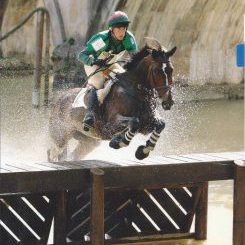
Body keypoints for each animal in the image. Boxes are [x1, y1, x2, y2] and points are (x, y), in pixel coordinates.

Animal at [47, 37, 177, 161]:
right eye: (156, 71)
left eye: (171, 69)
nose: (168, 102)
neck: (136, 91)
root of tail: (59, 99)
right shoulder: (111, 124)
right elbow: (135, 122)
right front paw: (118, 142)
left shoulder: (147, 123)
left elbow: (161, 124)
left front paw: (143, 151)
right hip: (60, 136)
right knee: (52, 152)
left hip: (89, 141)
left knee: (73, 155)